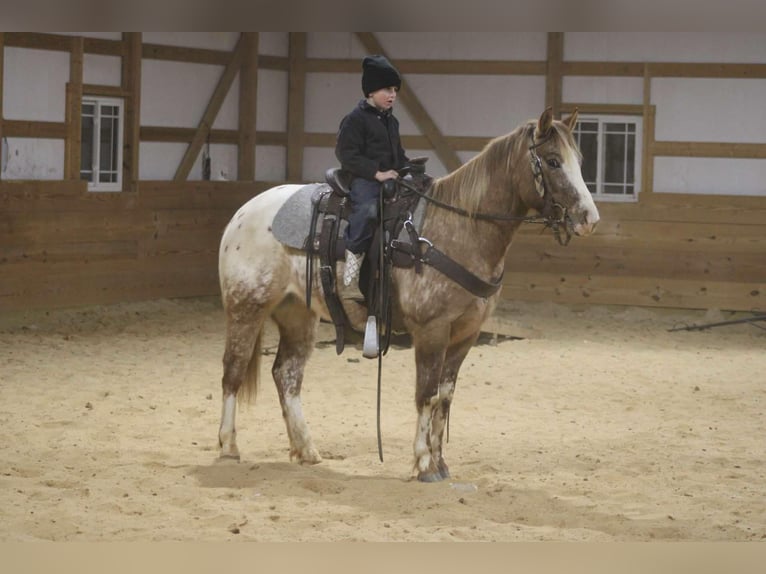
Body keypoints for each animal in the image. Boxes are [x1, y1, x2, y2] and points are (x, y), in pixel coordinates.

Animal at [216, 107, 600, 482]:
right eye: (553, 161)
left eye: (579, 159)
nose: (589, 218)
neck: (461, 230)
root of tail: (243, 213)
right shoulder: (432, 330)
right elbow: (426, 395)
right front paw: (424, 465)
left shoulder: (466, 334)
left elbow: (445, 398)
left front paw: (441, 463)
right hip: (246, 308)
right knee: (233, 370)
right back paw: (228, 448)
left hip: (298, 314)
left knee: (287, 375)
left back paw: (306, 450)